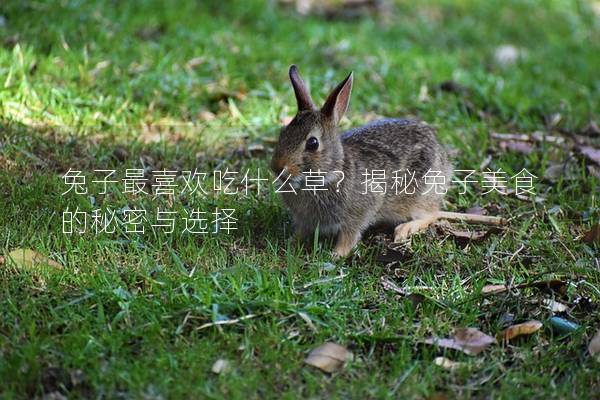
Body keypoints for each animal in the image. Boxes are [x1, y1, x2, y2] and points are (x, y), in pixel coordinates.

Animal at [272, 64, 450, 258]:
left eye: (313, 143)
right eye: (282, 133)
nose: (277, 168)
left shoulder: (361, 211)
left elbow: (349, 235)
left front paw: (336, 254)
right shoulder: (304, 221)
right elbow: (301, 232)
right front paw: (289, 244)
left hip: (421, 195)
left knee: (432, 214)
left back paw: (404, 229)